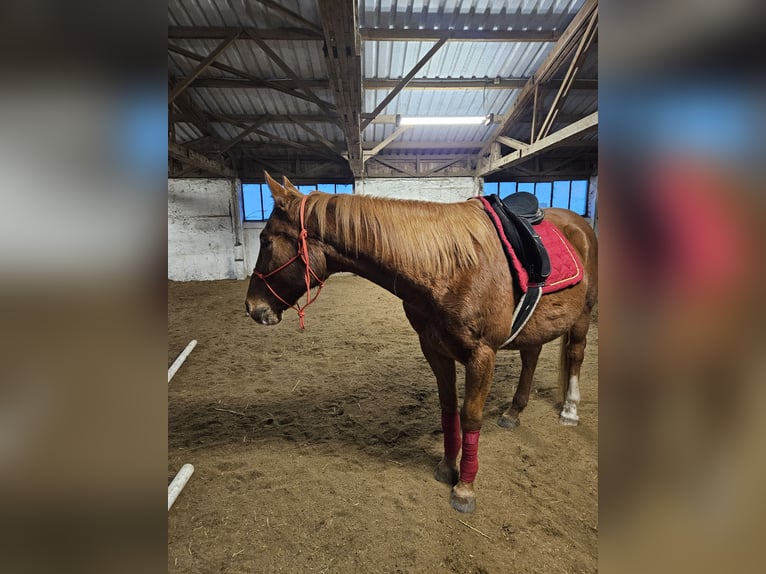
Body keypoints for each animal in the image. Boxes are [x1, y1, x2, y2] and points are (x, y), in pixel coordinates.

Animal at [246, 173, 600, 516]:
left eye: (265, 241)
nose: (252, 307)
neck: (449, 266)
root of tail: (579, 225)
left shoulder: (482, 354)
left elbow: (470, 416)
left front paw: (465, 488)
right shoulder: (434, 349)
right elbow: (448, 410)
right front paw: (447, 467)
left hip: (584, 313)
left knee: (575, 354)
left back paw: (570, 410)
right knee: (531, 356)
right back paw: (514, 411)